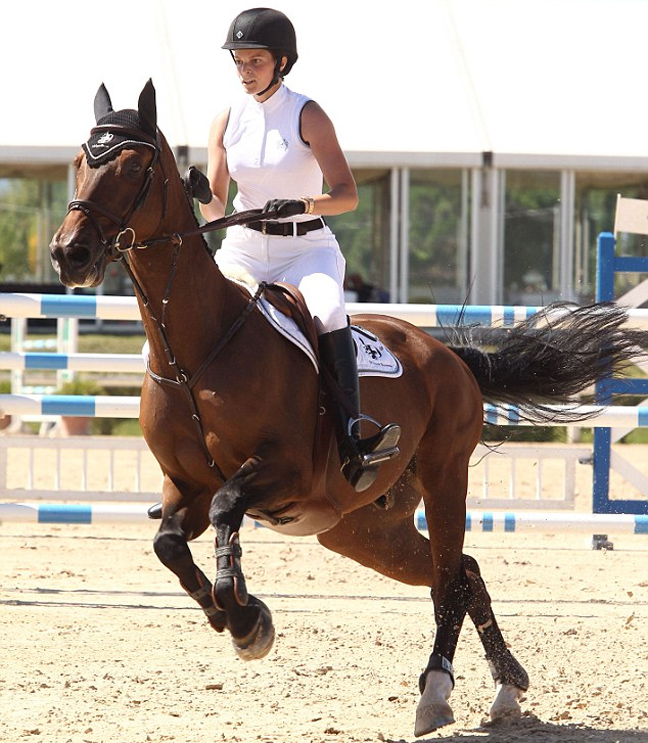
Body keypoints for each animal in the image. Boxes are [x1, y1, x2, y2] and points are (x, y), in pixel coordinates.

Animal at [52, 83, 648, 740]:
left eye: (134, 168)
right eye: (79, 162)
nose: (69, 253)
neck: (194, 355)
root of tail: (449, 354)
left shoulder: (283, 472)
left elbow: (228, 504)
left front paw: (246, 614)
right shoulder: (183, 485)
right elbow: (168, 544)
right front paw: (239, 619)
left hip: (443, 477)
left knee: (449, 579)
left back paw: (436, 691)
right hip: (362, 530)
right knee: (461, 571)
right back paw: (507, 688)